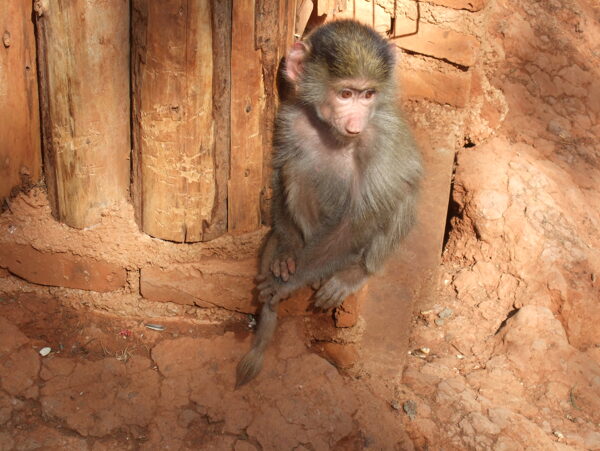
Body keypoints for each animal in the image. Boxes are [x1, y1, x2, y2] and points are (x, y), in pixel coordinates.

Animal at [234, 19, 422, 386]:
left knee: (399, 197)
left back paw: (353, 269)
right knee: (298, 167)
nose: (356, 122)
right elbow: (281, 168)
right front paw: (287, 251)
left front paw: (288, 283)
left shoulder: (381, 140)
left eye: (368, 94)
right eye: (345, 94)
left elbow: (362, 218)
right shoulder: (291, 117)